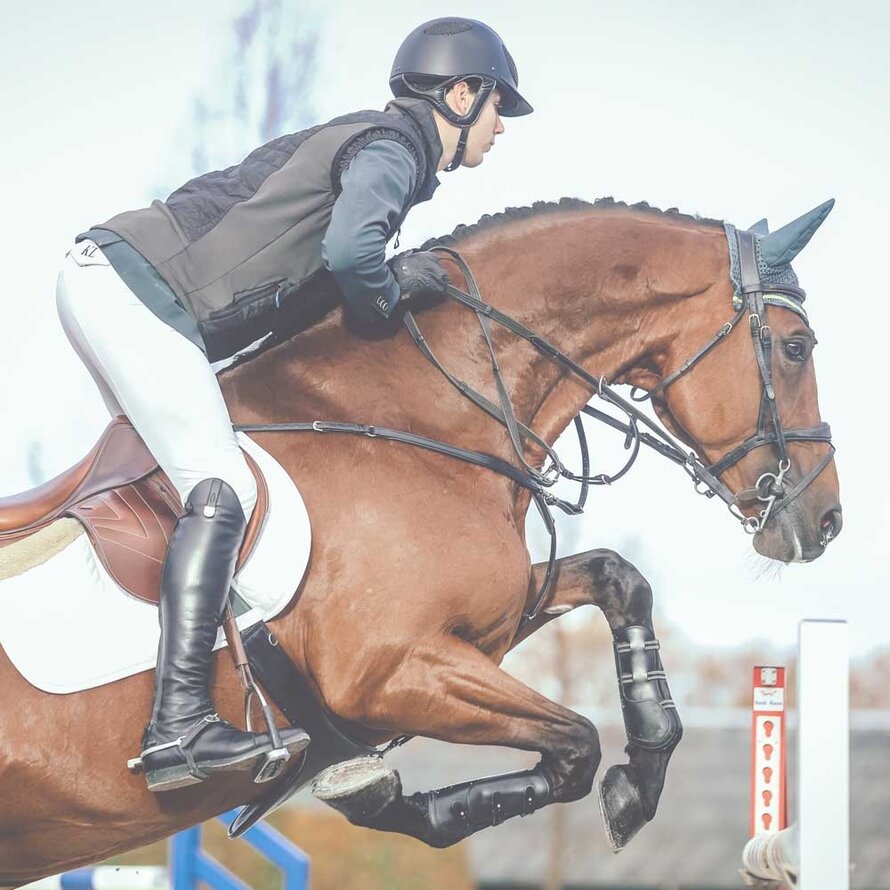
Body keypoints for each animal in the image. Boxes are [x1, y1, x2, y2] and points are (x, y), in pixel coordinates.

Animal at [0, 196, 840, 886]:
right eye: (797, 347)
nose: (826, 519)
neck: (411, 418)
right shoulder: (388, 670)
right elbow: (574, 745)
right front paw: (372, 793)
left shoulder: (488, 624)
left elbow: (616, 579)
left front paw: (642, 778)